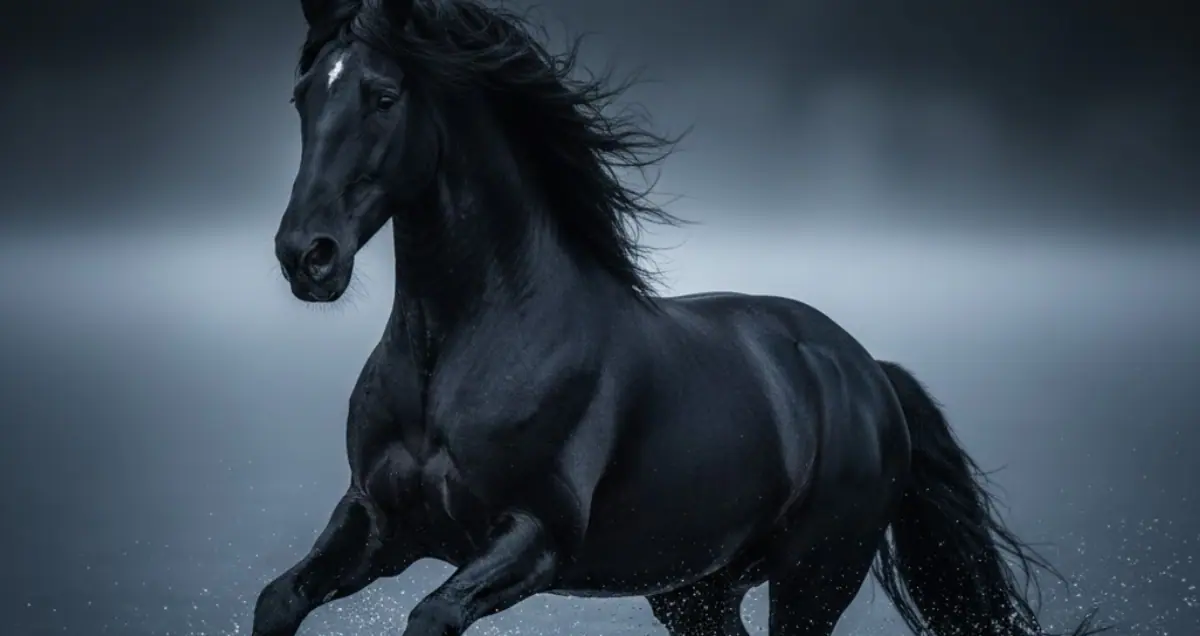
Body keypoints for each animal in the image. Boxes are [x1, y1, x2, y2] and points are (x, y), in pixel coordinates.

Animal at [252, 0, 1105, 634]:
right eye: (303, 96)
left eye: (383, 97)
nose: (307, 256)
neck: (459, 352)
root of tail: (869, 373)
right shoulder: (377, 523)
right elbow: (278, 599)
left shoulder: (534, 536)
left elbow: (430, 616)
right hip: (697, 591)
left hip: (813, 578)